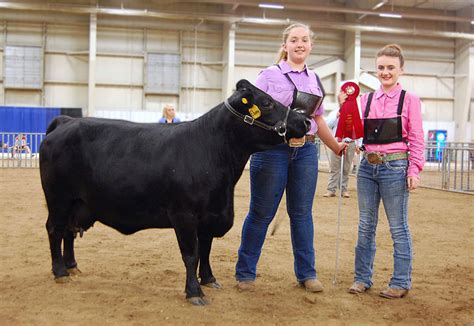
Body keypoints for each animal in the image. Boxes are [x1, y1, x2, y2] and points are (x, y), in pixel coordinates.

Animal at [40, 79, 312, 306]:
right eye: (267, 102)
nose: (306, 122)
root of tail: (67, 121)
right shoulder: (184, 215)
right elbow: (191, 254)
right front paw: (194, 292)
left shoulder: (210, 215)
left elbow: (206, 250)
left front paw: (209, 280)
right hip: (58, 198)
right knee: (55, 229)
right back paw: (60, 272)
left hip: (78, 202)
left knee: (69, 231)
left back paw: (72, 266)